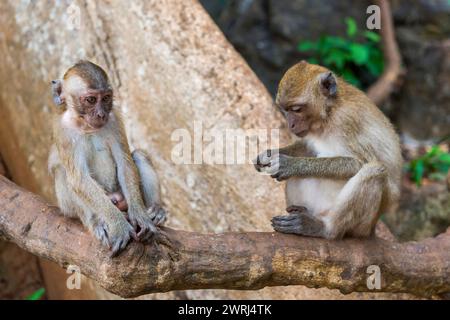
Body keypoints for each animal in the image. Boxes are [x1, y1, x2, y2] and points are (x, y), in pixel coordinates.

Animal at [48, 60, 167, 255]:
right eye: (90, 100)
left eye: (105, 98)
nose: (101, 114)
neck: (86, 126)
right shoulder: (63, 132)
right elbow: (79, 179)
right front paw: (119, 225)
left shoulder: (114, 120)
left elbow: (125, 163)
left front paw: (140, 216)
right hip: (70, 207)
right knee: (64, 173)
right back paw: (96, 221)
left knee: (138, 156)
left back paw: (155, 210)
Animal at [255, 61, 402, 239]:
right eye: (285, 110)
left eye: (296, 109)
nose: (290, 125)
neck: (329, 113)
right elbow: (309, 149)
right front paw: (269, 155)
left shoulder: (347, 119)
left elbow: (358, 163)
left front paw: (290, 164)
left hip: (362, 226)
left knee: (375, 171)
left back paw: (324, 229)